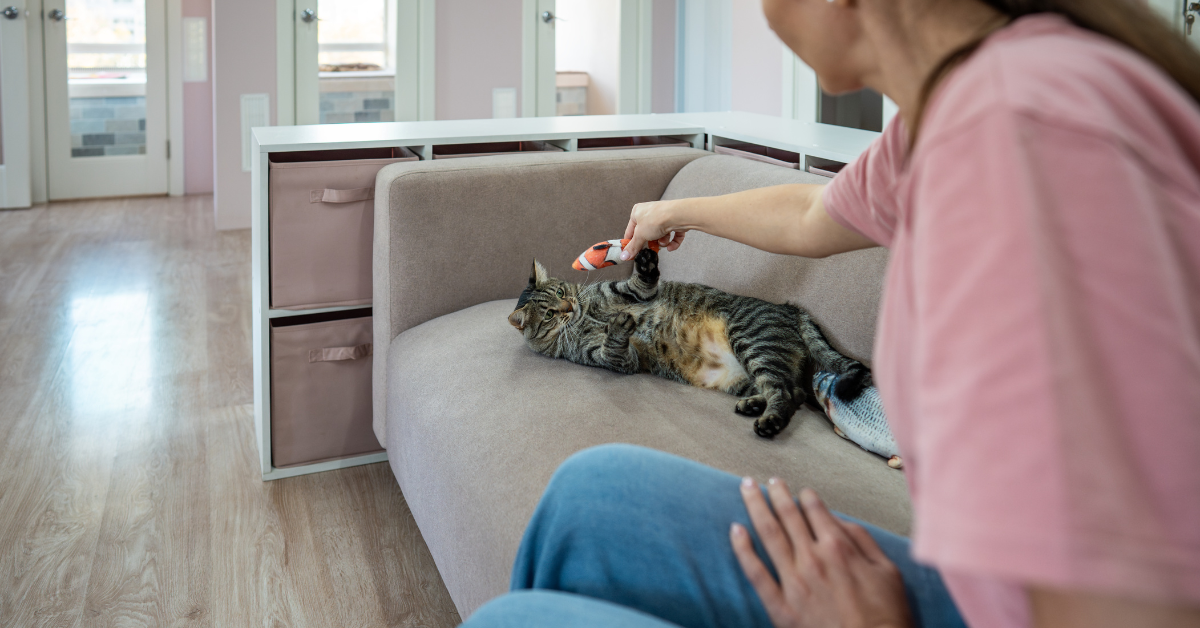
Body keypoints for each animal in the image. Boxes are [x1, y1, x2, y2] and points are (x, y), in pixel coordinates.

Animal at [506, 249, 873, 437]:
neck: (584, 317)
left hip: (753, 342)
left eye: (560, 291)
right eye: (549, 314)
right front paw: (617, 326)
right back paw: (760, 411)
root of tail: (789, 308)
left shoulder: (628, 292)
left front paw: (645, 262)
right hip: (748, 369)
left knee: (785, 390)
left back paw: (767, 419)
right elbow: (613, 346)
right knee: (789, 391)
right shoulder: (610, 358)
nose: (569, 306)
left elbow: (639, 283)